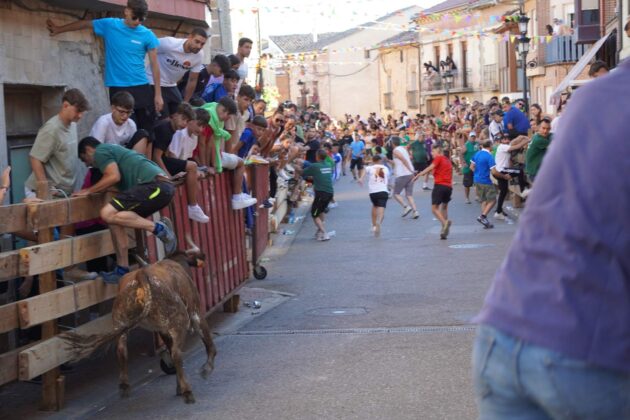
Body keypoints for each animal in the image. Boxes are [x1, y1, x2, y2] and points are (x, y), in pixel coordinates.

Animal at [62, 236, 217, 404]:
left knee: (122, 350)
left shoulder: (162, 329)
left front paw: (178, 386)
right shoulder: (196, 313)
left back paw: (124, 386)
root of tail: (141, 276)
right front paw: (206, 369)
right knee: (177, 353)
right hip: (180, 322)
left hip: (120, 323)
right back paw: (188, 392)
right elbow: (209, 344)